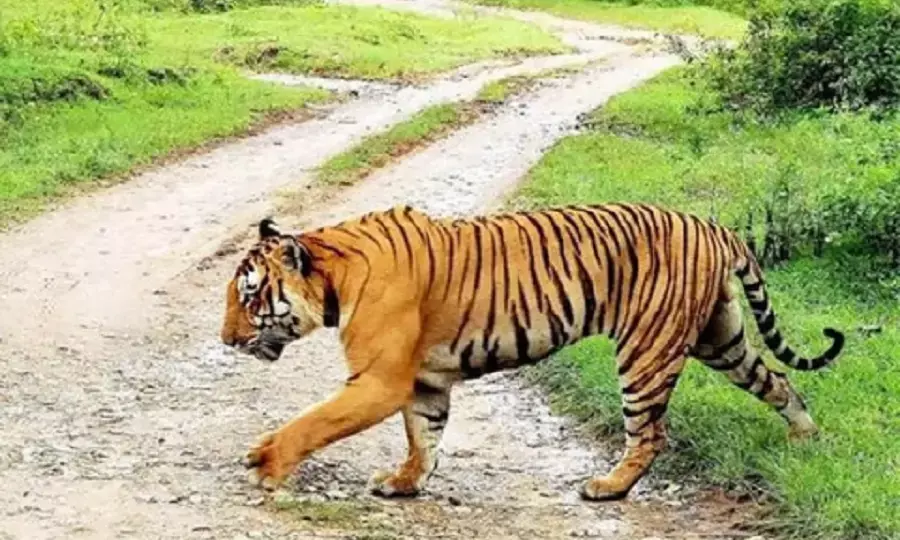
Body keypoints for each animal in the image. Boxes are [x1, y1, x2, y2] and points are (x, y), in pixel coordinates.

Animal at [220, 202, 844, 501]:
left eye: (248, 295)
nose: (225, 339)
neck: (334, 275)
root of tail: (715, 227)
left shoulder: (379, 382)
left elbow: (312, 422)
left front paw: (268, 462)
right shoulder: (424, 382)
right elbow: (425, 437)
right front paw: (405, 483)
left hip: (646, 350)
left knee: (649, 433)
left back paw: (608, 488)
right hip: (722, 338)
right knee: (779, 382)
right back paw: (806, 439)